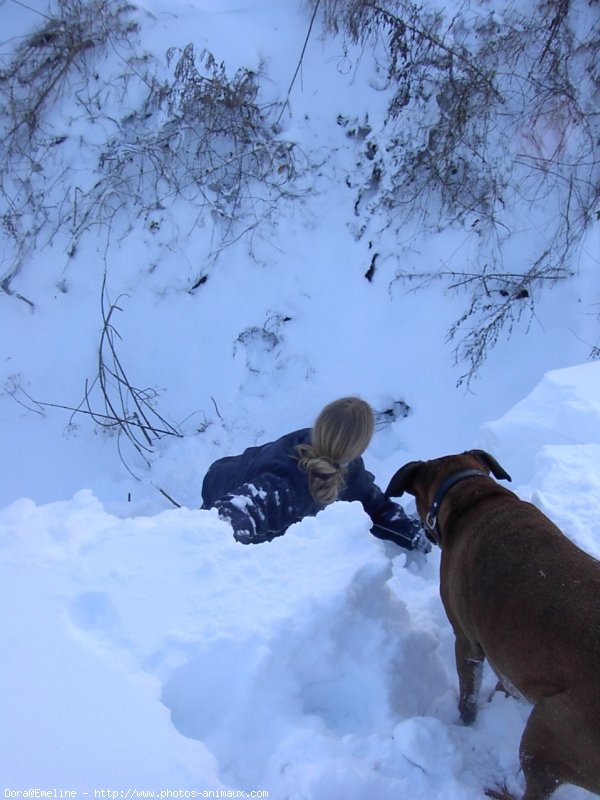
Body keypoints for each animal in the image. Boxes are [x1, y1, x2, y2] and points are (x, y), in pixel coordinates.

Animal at [386, 450, 600, 800]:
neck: (472, 494)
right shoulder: (505, 655)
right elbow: (505, 681)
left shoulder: (467, 640)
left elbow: (468, 697)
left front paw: (466, 722)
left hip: (547, 731)